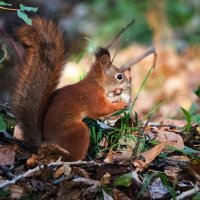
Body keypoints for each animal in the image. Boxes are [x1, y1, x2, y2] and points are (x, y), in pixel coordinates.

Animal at [12, 17, 130, 161]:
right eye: (119, 76)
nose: (129, 85)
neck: (96, 83)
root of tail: (45, 144)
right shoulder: (92, 96)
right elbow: (100, 109)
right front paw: (120, 104)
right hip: (79, 132)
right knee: (72, 156)